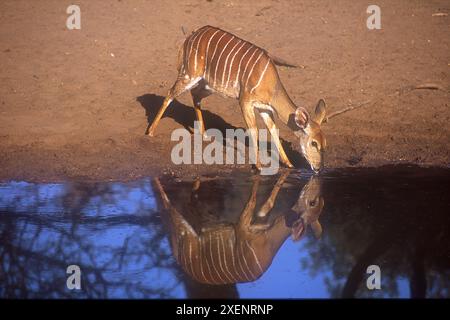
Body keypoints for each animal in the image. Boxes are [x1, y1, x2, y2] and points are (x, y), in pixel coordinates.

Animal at [148, 25, 326, 172]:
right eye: (314, 143)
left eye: (325, 144)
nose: (318, 168)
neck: (270, 84)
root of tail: (191, 35)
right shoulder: (245, 101)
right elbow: (254, 130)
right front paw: (259, 166)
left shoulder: (265, 109)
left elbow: (273, 130)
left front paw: (289, 164)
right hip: (189, 74)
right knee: (170, 94)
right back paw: (150, 132)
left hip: (208, 85)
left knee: (195, 96)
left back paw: (204, 135)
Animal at [155, 172, 324, 284]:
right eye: (314, 202)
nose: (316, 184)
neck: (268, 242)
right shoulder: (245, 226)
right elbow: (257, 199)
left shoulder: (247, 225)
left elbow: (262, 204)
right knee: (171, 203)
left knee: (182, 203)